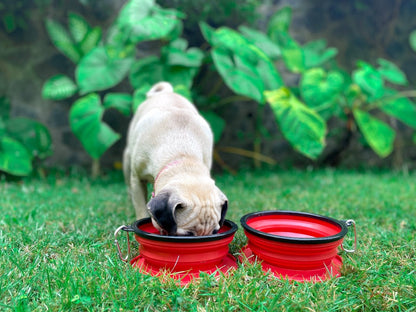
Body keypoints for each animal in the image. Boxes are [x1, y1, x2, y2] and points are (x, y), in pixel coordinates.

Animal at [122, 81, 229, 235]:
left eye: (215, 232)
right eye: (187, 236)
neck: (184, 157)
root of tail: (166, 92)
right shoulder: (137, 179)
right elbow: (141, 208)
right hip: (127, 161)